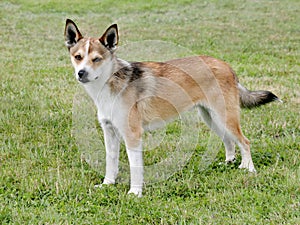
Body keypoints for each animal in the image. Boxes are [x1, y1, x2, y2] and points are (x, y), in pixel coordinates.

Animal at [64, 19, 280, 197]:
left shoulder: (132, 135)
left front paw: (135, 192)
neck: (110, 84)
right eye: (78, 57)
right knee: (229, 141)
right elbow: (111, 162)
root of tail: (226, 65)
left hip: (225, 116)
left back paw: (248, 168)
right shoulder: (110, 132)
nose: (81, 73)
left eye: (96, 59)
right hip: (212, 118)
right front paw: (107, 184)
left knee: (245, 142)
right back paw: (229, 163)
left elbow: (135, 167)